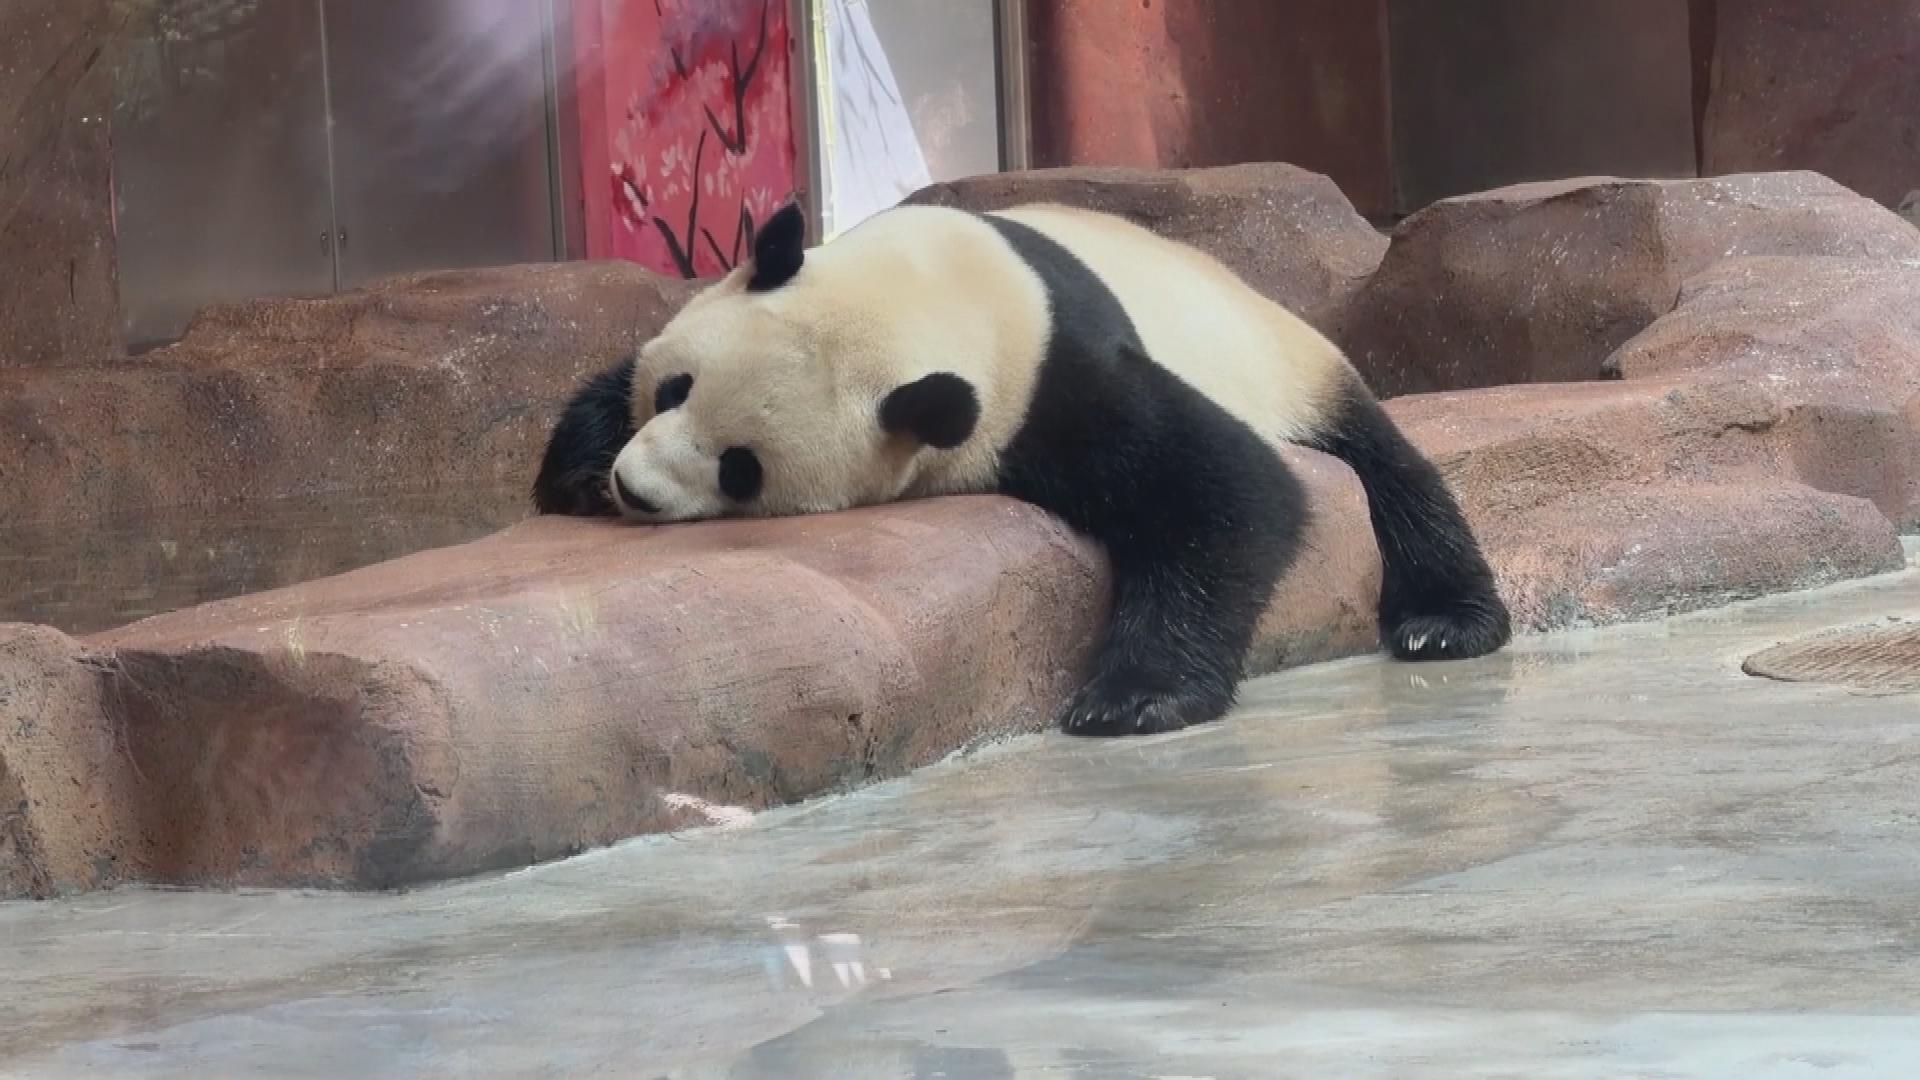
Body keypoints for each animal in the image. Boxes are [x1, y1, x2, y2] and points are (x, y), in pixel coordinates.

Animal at [533, 200, 1510, 736]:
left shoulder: (1052, 382)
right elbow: (609, 379)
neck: (931, 289)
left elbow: (1229, 492)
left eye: (743, 469)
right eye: (676, 390)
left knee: (1394, 480)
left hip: (1290, 368)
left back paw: (1444, 624)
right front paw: (579, 473)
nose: (634, 490)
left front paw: (1132, 701)